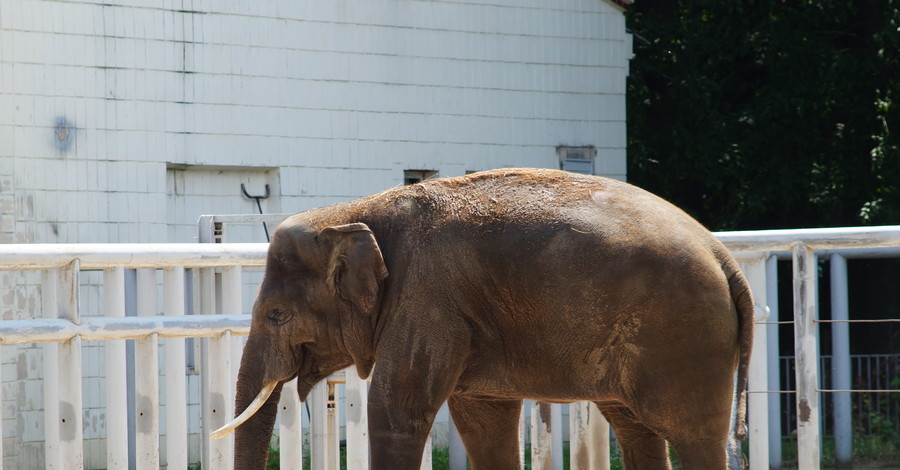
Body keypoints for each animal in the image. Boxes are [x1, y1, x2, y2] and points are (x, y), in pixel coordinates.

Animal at [214, 169, 756, 470]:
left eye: (277, 315)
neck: (356, 210)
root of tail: (723, 256)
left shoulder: (427, 301)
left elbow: (395, 413)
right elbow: (481, 420)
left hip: (685, 338)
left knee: (695, 437)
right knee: (635, 429)